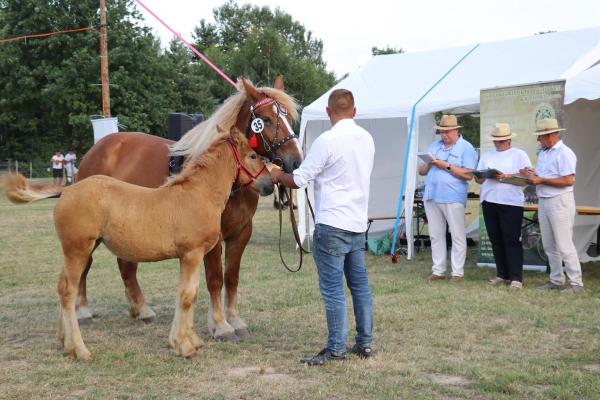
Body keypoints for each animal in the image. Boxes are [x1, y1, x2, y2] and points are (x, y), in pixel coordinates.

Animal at [3, 125, 273, 360]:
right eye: (253, 156)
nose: (270, 185)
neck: (197, 194)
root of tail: (67, 190)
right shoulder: (192, 254)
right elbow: (187, 295)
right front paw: (184, 346)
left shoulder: (189, 257)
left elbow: (189, 295)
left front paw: (192, 340)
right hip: (78, 249)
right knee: (68, 290)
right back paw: (79, 349)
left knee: (62, 287)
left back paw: (64, 341)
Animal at [74, 77, 301, 341]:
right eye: (266, 119)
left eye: (287, 116)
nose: (296, 160)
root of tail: (96, 150)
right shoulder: (213, 237)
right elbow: (215, 279)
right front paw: (221, 325)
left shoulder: (241, 232)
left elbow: (232, 277)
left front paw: (235, 320)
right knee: (85, 264)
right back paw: (82, 311)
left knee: (126, 265)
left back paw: (141, 309)